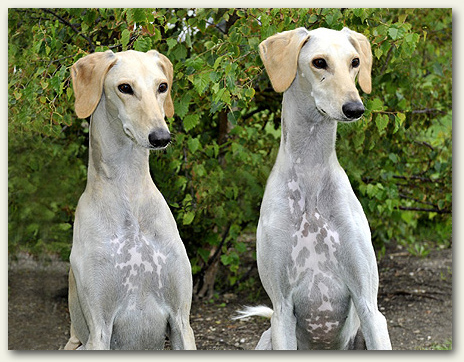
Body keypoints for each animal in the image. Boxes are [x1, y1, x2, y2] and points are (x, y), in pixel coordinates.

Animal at [63, 49, 196, 350]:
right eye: (125, 87)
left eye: (162, 86)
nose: (161, 137)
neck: (129, 195)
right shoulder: (99, 329)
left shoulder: (181, 321)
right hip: (78, 342)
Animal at [237, 28, 394, 350]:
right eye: (319, 62)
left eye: (355, 61)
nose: (355, 108)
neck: (311, 173)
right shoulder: (282, 308)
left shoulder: (369, 306)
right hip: (268, 335)